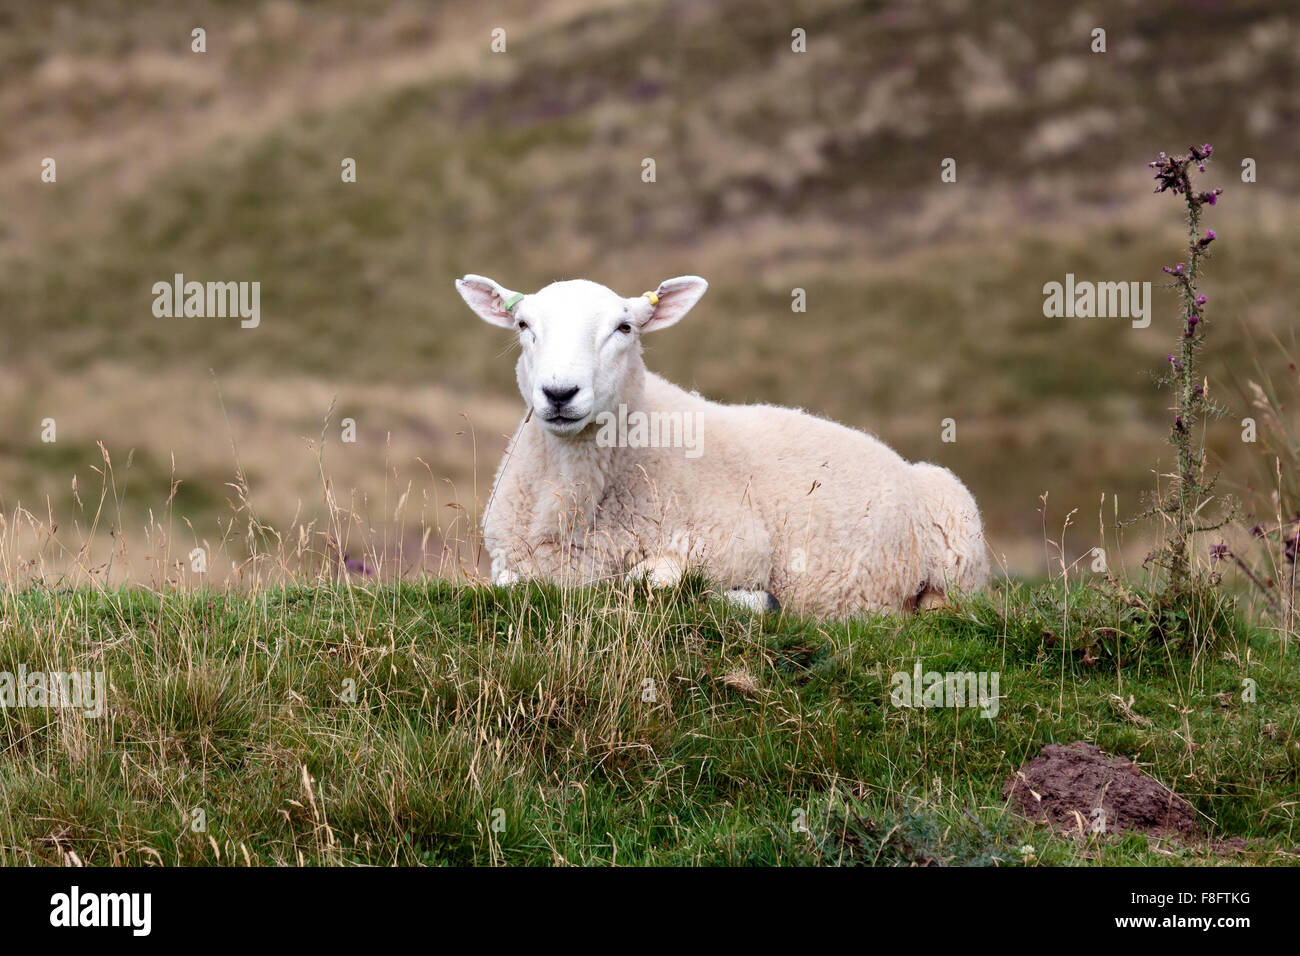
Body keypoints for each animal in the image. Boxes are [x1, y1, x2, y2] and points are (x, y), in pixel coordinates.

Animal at [454, 273, 982, 616]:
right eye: (523, 326)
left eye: (625, 327)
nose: (560, 393)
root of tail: (900, 460)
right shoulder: (509, 561)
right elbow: (509, 584)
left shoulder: (739, 547)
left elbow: (650, 581)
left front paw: (757, 601)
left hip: (959, 546)